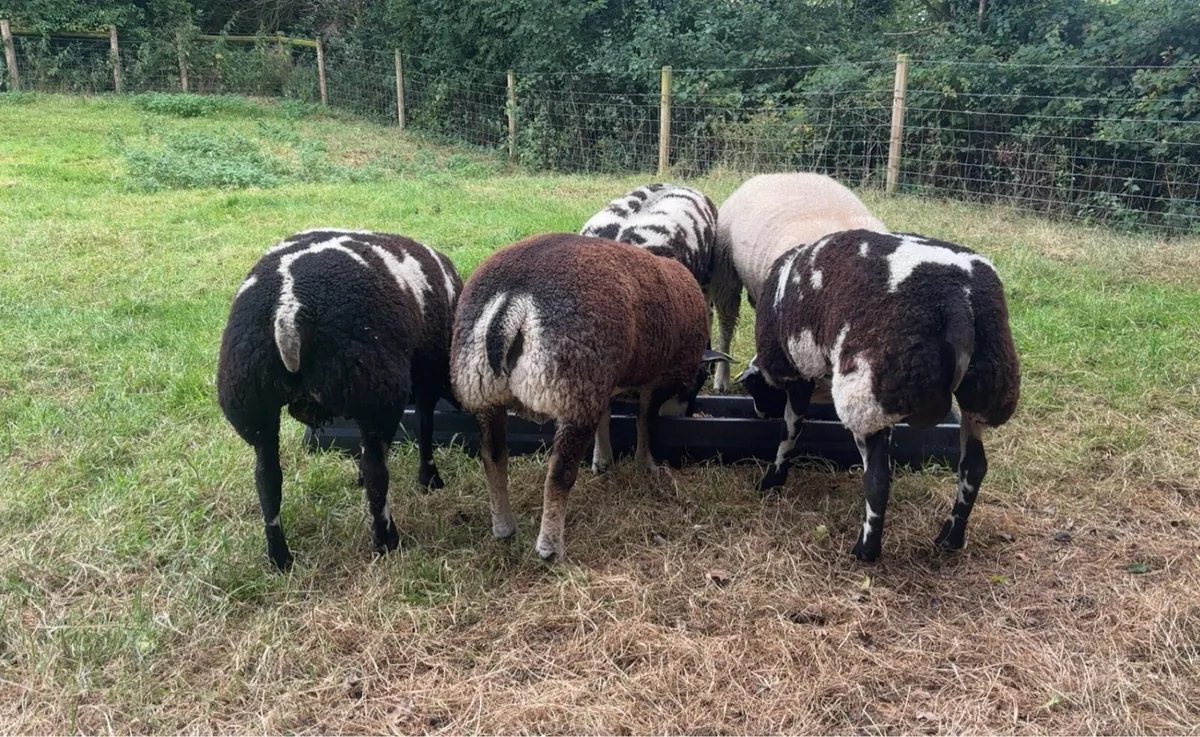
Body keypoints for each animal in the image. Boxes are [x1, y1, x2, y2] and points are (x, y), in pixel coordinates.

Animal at [216, 228, 462, 570]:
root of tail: (288, 313)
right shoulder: (426, 375)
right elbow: (424, 428)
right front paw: (430, 479)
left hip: (252, 400)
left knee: (267, 480)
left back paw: (280, 558)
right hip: (376, 391)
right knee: (377, 473)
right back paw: (386, 540)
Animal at [450, 233, 725, 562]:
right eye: (698, 381)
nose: (687, 413)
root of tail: (512, 300)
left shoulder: (602, 382)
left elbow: (606, 418)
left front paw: (603, 461)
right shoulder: (654, 382)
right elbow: (645, 422)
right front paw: (646, 465)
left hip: (485, 391)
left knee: (493, 457)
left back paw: (504, 528)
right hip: (573, 388)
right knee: (559, 475)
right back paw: (550, 548)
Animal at [738, 229, 1020, 562]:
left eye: (754, 390)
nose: (759, 413)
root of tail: (958, 301)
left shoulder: (798, 374)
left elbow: (789, 432)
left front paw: (773, 480)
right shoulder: (887, 412)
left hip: (864, 393)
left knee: (877, 480)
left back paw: (866, 550)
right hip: (980, 391)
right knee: (973, 468)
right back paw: (950, 538)